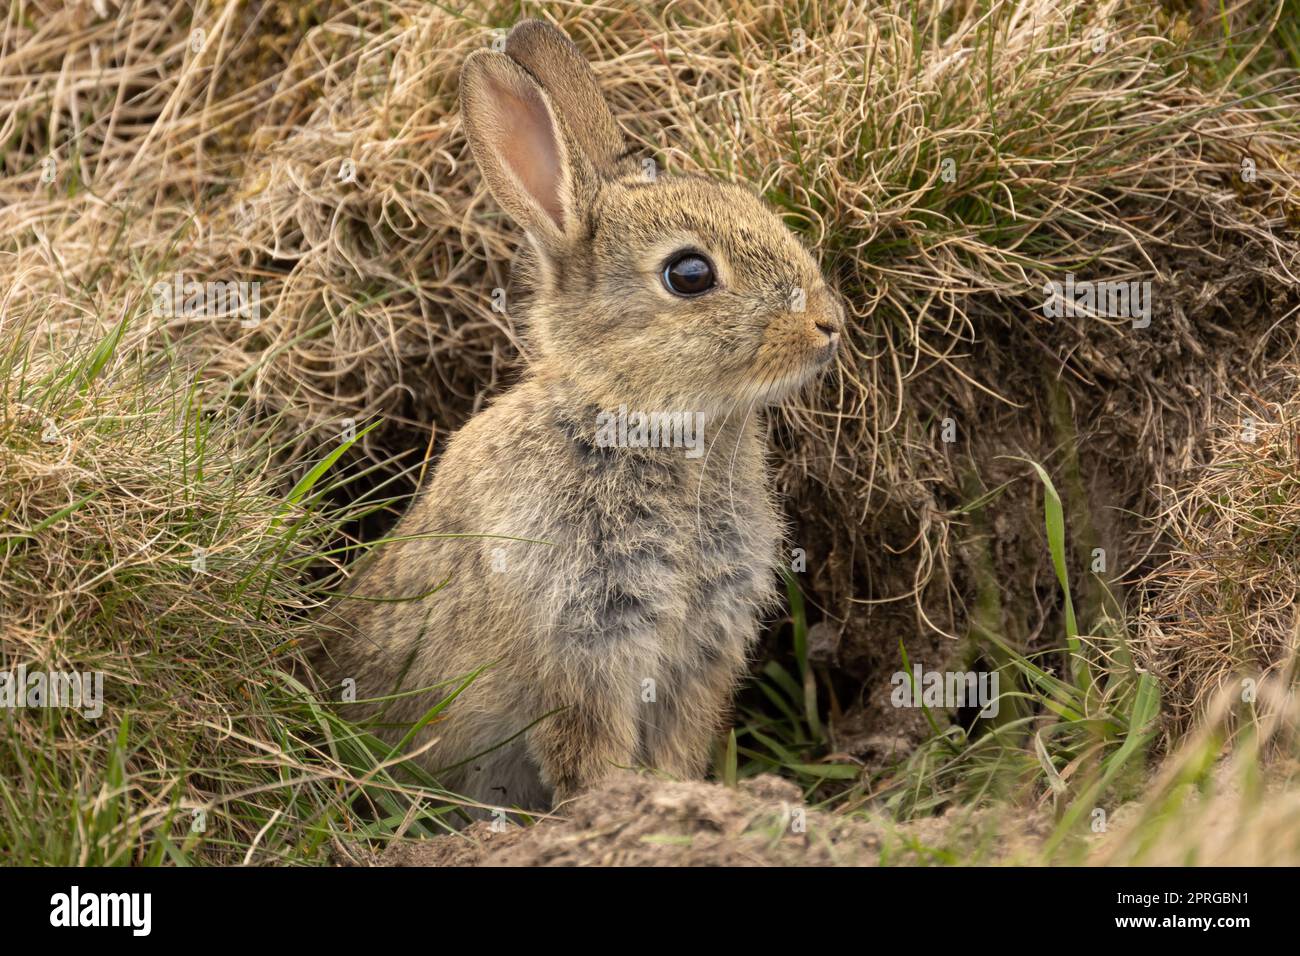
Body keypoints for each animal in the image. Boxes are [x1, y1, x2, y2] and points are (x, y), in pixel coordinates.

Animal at [314, 19, 844, 814]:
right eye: (690, 274)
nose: (828, 326)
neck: (632, 419)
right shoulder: (580, 642)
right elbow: (588, 749)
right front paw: (616, 805)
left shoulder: (700, 655)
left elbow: (678, 741)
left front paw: (679, 796)